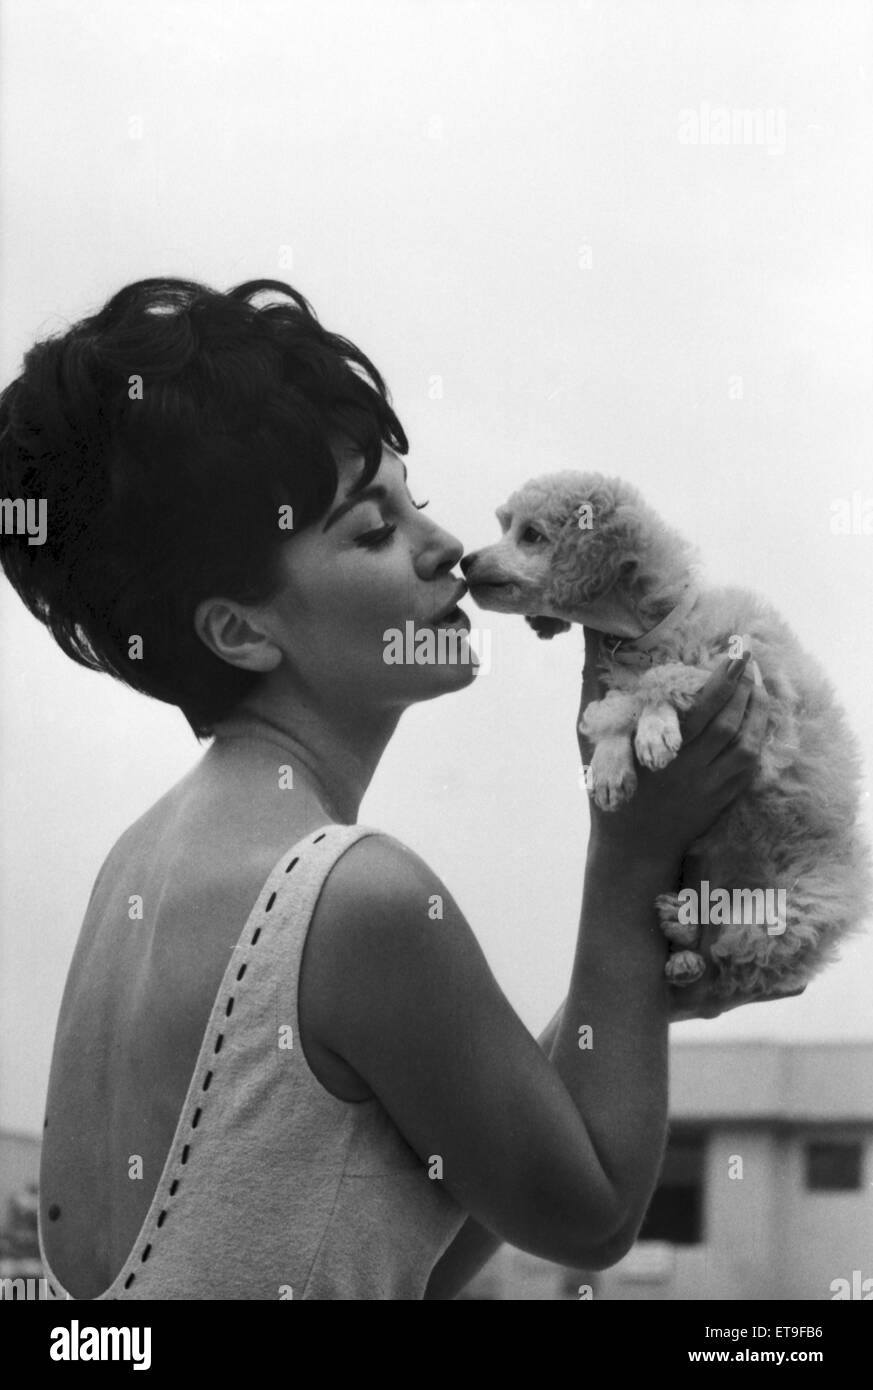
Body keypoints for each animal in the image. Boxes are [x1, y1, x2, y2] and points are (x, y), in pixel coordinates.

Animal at [464, 475, 867, 1000]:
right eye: (505, 527)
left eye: (531, 535)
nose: (465, 561)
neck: (646, 630)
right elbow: (619, 704)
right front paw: (611, 767)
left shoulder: (748, 675)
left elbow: (662, 678)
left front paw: (654, 729)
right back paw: (683, 942)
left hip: (789, 912)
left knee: (741, 956)